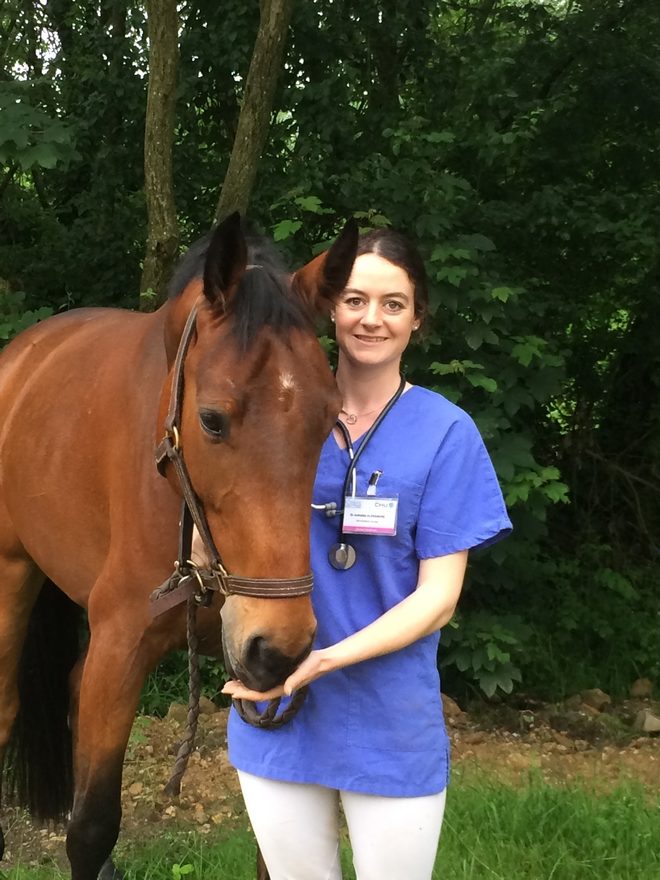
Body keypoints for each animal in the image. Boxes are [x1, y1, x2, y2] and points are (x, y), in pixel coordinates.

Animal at [0, 215, 358, 880]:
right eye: (212, 419)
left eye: (329, 420)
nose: (280, 645)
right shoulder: (121, 645)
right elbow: (91, 827)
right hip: (11, 575)